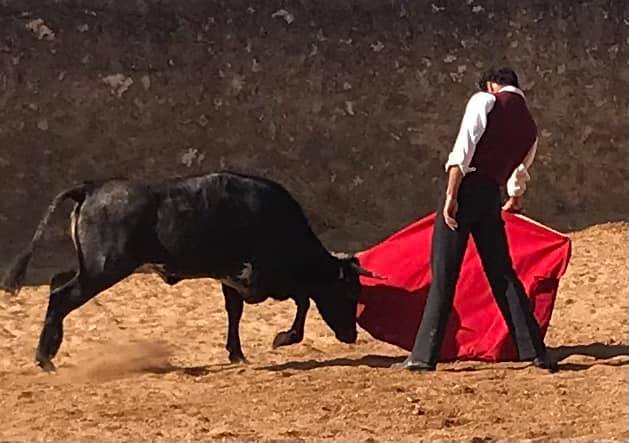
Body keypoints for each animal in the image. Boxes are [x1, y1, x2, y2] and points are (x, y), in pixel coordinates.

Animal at [1, 171, 382, 372]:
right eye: (349, 292)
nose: (351, 336)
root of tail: (91, 188)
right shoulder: (261, 279)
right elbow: (302, 301)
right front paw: (283, 338)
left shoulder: (234, 281)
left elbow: (235, 312)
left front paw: (237, 354)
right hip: (103, 269)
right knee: (61, 295)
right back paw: (45, 358)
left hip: (92, 266)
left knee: (57, 283)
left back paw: (49, 352)